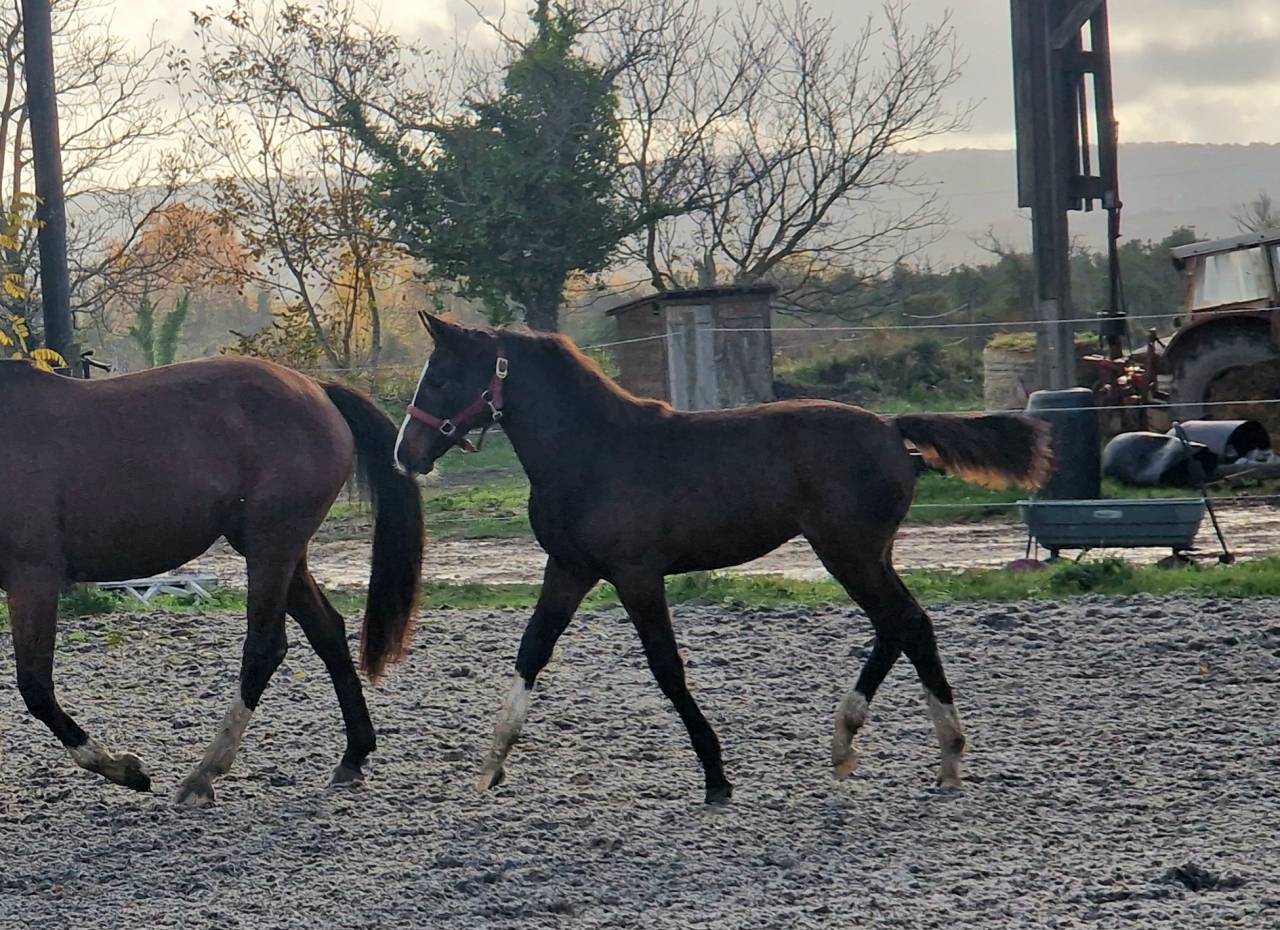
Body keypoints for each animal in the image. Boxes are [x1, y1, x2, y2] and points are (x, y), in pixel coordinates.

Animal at [0, 356, 422, 803]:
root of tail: (317, 389)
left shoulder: (33, 577)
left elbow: (35, 687)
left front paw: (125, 770)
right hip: (283, 553)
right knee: (327, 632)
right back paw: (353, 755)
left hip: (270, 546)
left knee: (265, 648)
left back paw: (204, 773)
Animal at [393, 314, 1050, 804]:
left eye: (443, 377)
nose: (406, 454)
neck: (592, 452)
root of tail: (891, 430)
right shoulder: (569, 569)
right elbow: (532, 651)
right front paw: (491, 763)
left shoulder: (636, 575)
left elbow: (666, 669)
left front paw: (716, 776)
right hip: (867, 553)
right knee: (904, 626)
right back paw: (900, 751)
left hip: (848, 552)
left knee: (904, 622)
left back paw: (901, 749)